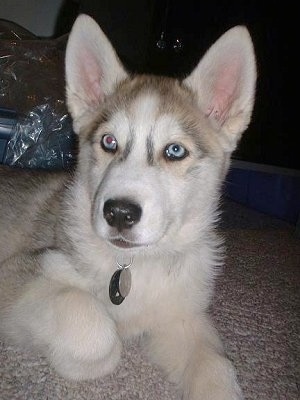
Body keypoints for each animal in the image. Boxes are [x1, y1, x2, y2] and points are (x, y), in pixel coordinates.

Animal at [0, 14, 255, 400]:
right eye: (109, 141)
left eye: (174, 151)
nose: (119, 213)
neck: (136, 264)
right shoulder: (22, 270)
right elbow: (95, 332)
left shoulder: (182, 316)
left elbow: (216, 365)